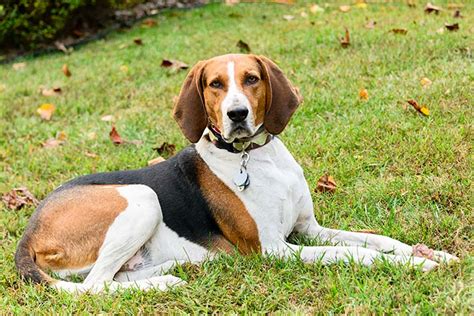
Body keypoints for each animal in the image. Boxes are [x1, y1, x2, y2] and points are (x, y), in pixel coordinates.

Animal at [15, 54, 460, 294]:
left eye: (252, 79)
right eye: (214, 84)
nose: (237, 114)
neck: (257, 159)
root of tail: (29, 231)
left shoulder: (309, 229)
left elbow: (379, 240)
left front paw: (428, 253)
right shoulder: (277, 249)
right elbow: (355, 253)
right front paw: (414, 267)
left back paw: (180, 268)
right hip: (142, 196)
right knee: (94, 287)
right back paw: (165, 283)